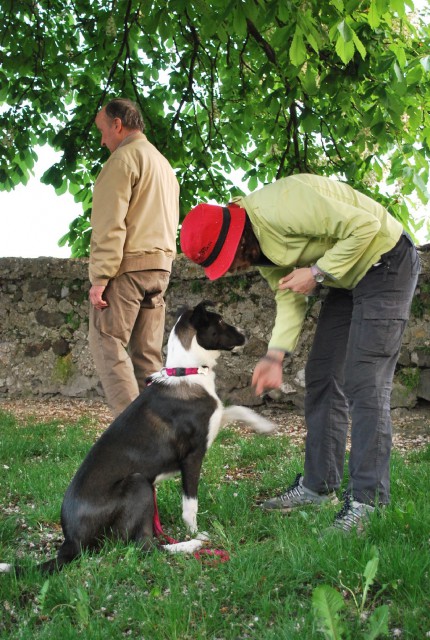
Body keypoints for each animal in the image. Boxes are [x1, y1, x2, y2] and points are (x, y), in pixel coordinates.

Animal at [0, 300, 274, 576]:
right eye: (220, 321)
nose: (247, 335)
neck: (186, 371)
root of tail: (72, 540)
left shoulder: (214, 419)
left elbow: (235, 409)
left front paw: (263, 424)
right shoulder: (192, 456)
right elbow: (190, 505)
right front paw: (194, 531)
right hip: (139, 483)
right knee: (144, 547)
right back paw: (191, 544)